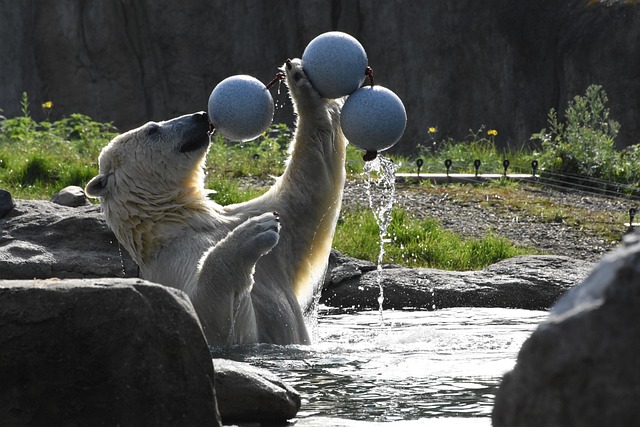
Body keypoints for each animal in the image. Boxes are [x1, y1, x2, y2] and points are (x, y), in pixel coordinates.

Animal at [85, 58, 347, 346]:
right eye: (152, 129)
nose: (200, 116)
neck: (176, 221)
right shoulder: (171, 266)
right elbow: (210, 319)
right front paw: (255, 231)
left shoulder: (254, 220)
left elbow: (308, 186)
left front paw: (300, 77)